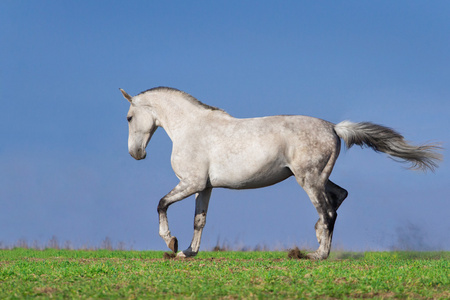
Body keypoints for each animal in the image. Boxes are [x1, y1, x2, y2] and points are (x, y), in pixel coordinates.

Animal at [119, 86, 442, 260]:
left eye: (129, 117)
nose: (136, 153)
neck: (192, 129)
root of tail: (334, 127)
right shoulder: (205, 187)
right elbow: (200, 220)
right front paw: (188, 251)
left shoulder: (190, 183)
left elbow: (161, 204)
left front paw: (171, 243)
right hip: (316, 177)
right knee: (338, 197)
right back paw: (316, 238)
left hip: (308, 179)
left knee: (328, 211)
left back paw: (318, 254)